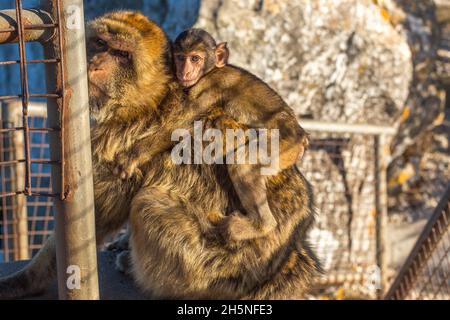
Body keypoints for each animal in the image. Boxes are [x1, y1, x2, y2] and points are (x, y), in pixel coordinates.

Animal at [0, 10, 320, 300]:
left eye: (121, 54)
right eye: (100, 44)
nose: (94, 64)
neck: (144, 98)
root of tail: (282, 269)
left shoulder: (113, 141)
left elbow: (92, 220)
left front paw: (26, 280)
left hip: (211, 268)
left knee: (148, 204)